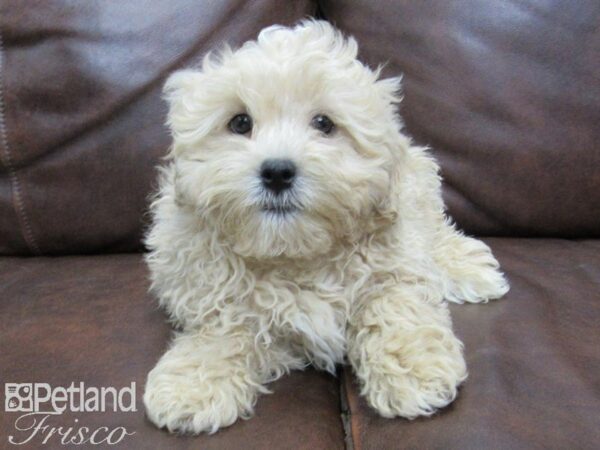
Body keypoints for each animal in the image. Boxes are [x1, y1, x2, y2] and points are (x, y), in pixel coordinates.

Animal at [143, 20, 508, 432]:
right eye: (240, 122)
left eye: (324, 124)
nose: (277, 172)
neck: (295, 252)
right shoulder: (207, 283)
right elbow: (223, 327)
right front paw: (192, 385)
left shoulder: (394, 266)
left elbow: (393, 305)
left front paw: (414, 369)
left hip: (419, 185)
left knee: (434, 232)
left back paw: (467, 266)